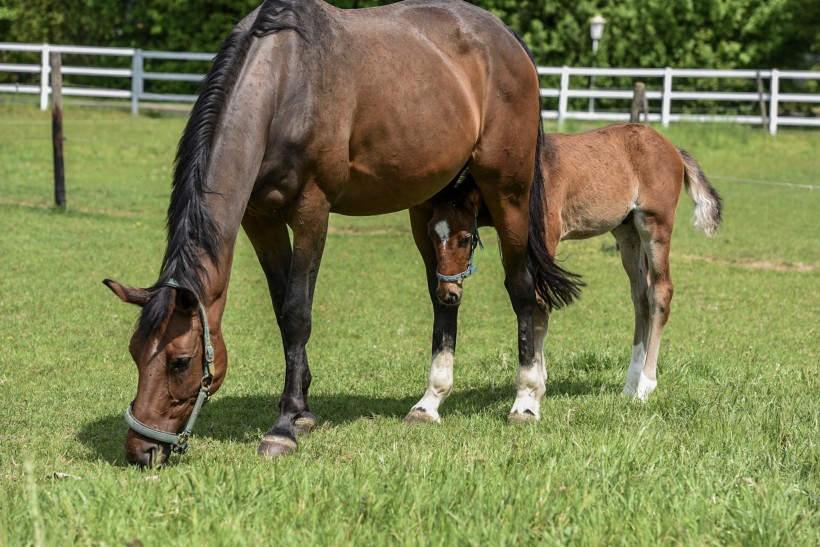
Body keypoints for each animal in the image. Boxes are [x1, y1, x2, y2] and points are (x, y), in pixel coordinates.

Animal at [102, 1, 580, 470]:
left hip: (508, 194)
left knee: (522, 289)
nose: (140, 450)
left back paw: (526, 399)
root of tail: (506, 37)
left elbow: (298, 312)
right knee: (444, 298)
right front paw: (302, 411)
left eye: (180, 361)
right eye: (134, 351)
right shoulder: (260, 219)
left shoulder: (312, 211)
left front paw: (283, 428)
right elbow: (282, 312)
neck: (285, 81)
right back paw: (429, 403)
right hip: (428, 207)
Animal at [422, 123, 724, 416]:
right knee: (641, 296)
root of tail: (673, 148)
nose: (448, 293)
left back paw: (644, 387)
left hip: (655, 224)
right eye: (431, 236)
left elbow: (539, 305)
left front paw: (535, 385)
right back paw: (629, 385)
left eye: (465, 239)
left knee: (661, 292)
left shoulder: (546, 240)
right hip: (627, 232)